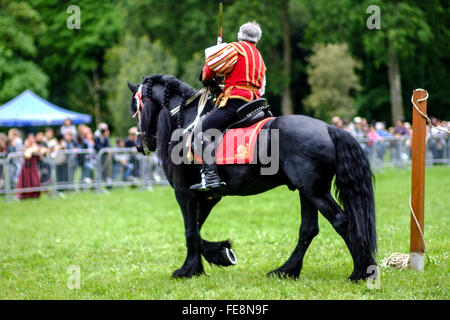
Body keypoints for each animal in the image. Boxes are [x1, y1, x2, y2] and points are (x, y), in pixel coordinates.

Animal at [126, 74, 376, 280]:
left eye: (136, 108)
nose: (139, 145)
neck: (187, 123)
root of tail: (328, 128)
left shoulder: (184, 192)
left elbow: (190, 230)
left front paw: (189, 269)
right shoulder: (208, 197)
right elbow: (196, 228)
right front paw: (219, 254)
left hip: (315, 191)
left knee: (341, 221)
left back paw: (360, 272)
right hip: (307, 192)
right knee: (308, 229)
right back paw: (286, 270)